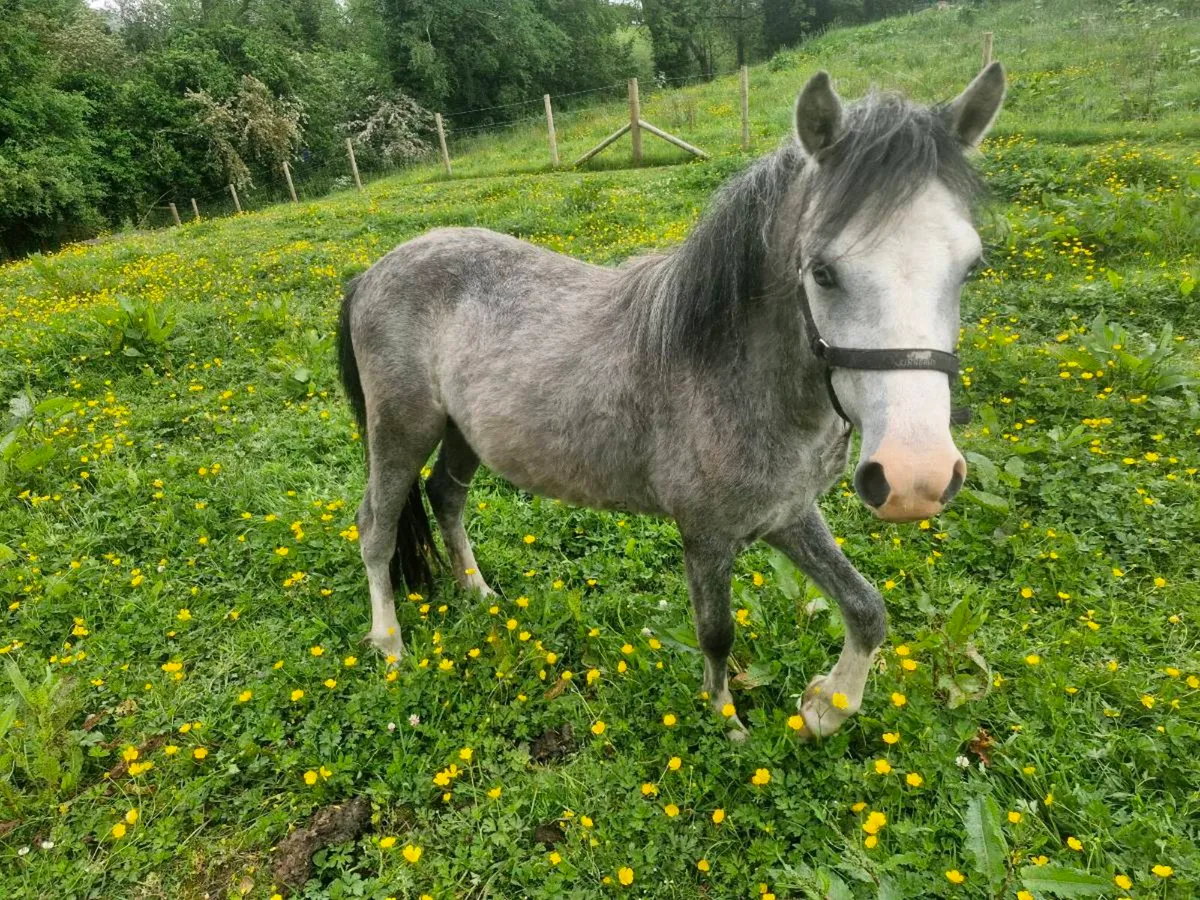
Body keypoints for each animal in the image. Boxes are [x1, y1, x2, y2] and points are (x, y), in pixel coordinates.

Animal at [337, 64, 1006, 738]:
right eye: (822, 271)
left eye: (970, 266)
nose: (915, 478)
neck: (733, 378)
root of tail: (371, 273)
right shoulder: (706, 536)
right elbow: (717, 634)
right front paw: (727, 723)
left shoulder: (787, 515)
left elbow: (867, 607)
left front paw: (826, 706)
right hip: (401, 431)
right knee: (376, 526)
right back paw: (389, 644)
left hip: (462, 433)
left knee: (446, 498)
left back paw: (478, 594)